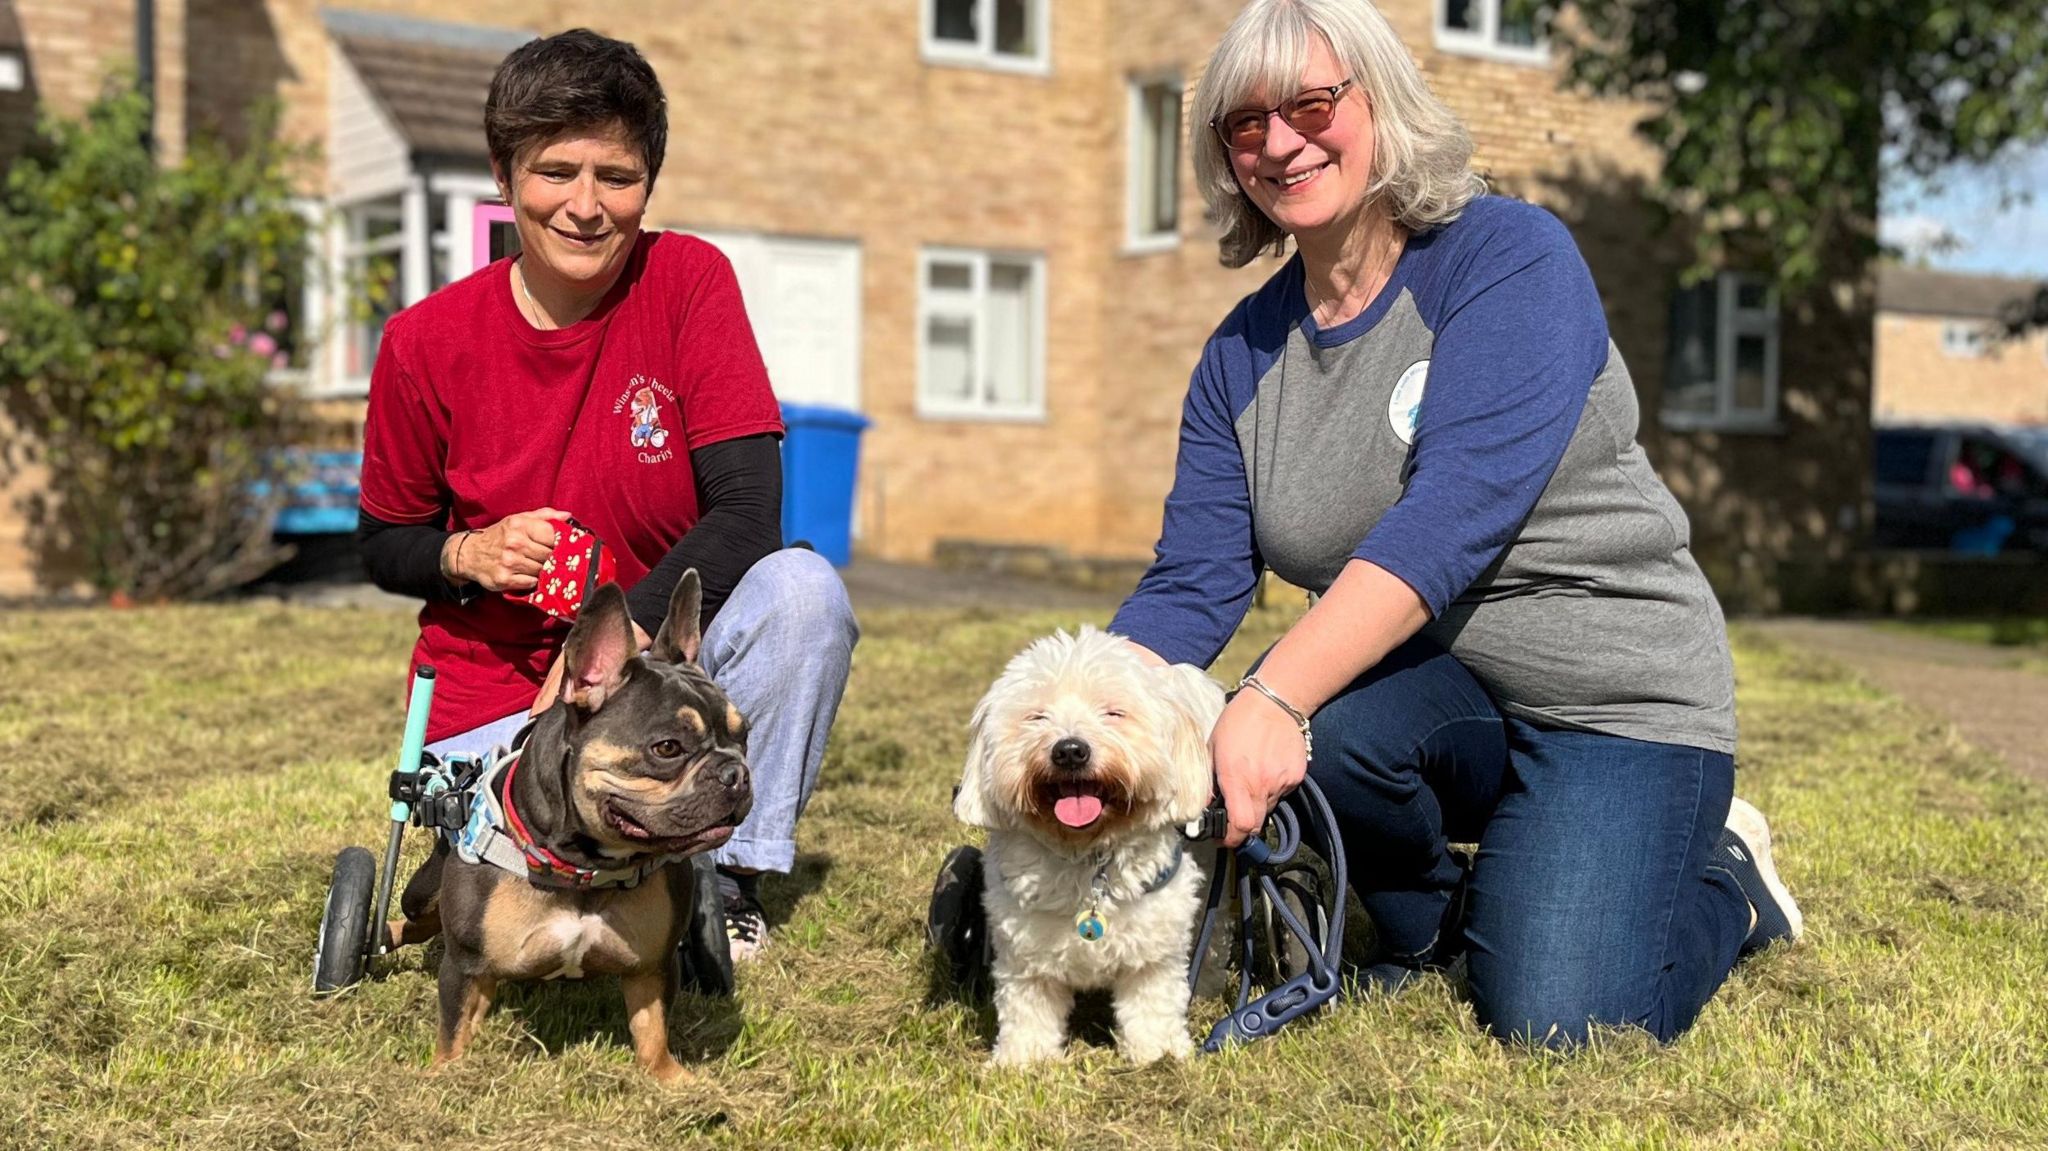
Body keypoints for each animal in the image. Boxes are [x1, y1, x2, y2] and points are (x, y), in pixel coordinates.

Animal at [954, 622, 1220, 1064]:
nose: (1069, 750)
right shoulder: (1024, 953)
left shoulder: (1154, 952)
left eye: (1113, 713)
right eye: (1036, 716)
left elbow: (1153, 1005)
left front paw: (1158, 1055)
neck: (1087, 857)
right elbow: (1028, 1010)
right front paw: (1023, 1061)